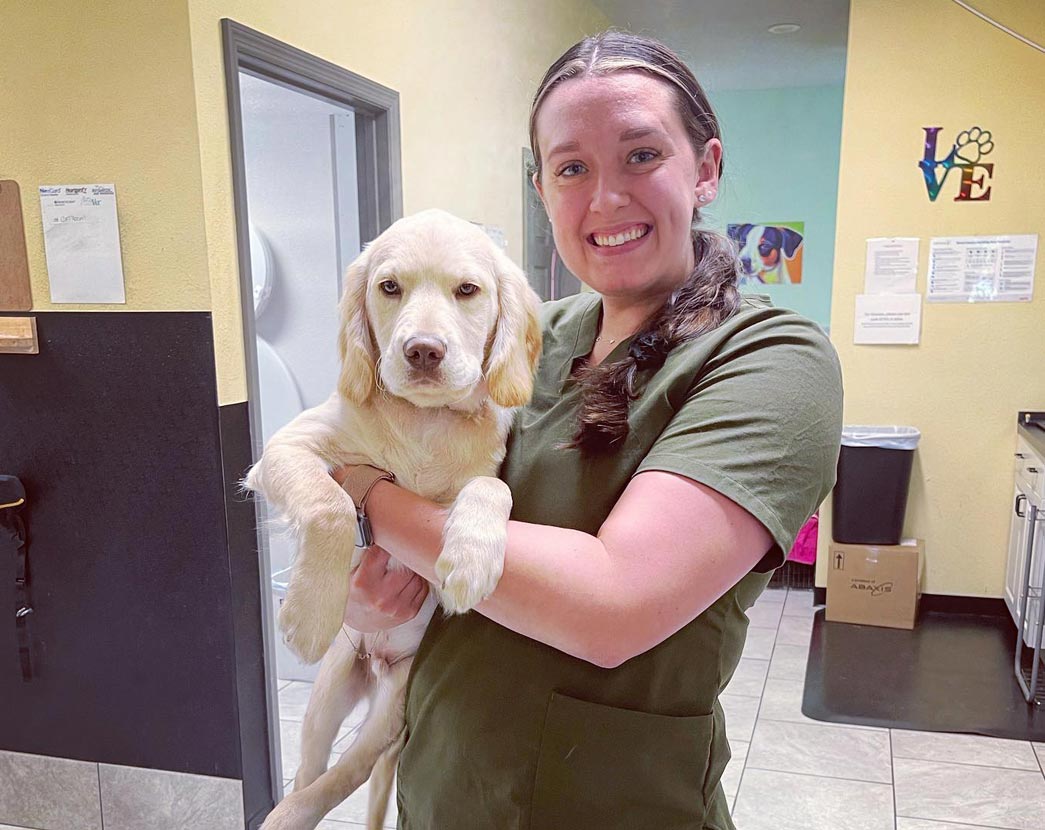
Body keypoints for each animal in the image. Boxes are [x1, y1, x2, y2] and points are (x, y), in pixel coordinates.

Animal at [244, 209, 539, 827]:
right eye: (389, 288)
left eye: (467, 290)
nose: (423, 350)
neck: (424, 421)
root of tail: (376, 662)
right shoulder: (287, 448)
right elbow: (331, 505)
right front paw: (307, 613)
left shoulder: (480, 477)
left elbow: (492, 486)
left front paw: (470, 561)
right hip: (327, 695)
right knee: (310, 775)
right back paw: (282, 813)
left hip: (393, 706)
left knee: (345, 775)